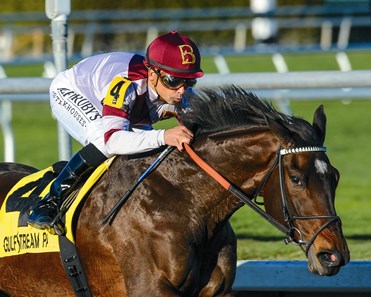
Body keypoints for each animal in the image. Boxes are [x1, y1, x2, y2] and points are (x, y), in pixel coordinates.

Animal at [0, 84, 350, 294]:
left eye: (334, 176)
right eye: (297, 179)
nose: (334, 256)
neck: (185, 201)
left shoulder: (217, 289)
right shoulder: (149, 288)